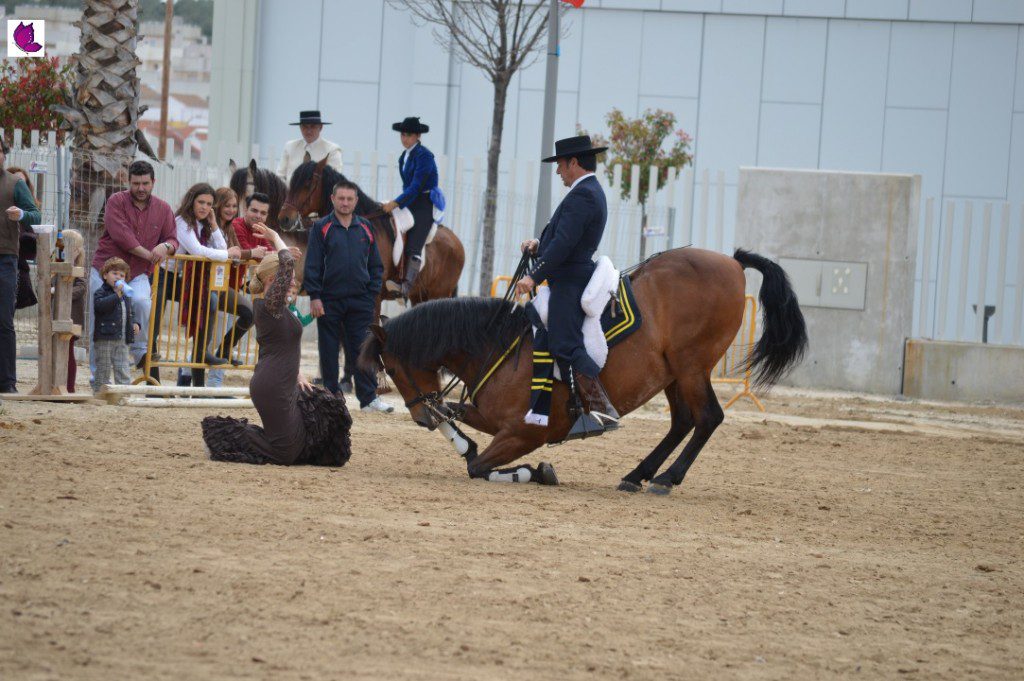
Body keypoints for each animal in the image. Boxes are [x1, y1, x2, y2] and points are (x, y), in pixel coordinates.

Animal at [277, 157, 465, 307]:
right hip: (420, 296)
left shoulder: (374, 298)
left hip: (438, 293)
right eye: (291, 182)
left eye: (308, 184)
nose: (284, 219)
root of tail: (456, 241)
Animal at [358, 247, 808, 495]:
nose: (417, 416)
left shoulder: (526, 432)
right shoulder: (488, 416)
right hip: (674, 375)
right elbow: (455, 426)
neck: (499, 346)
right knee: (682, 421)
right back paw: (639, 474)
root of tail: (731, 262)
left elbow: (478, 467)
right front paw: (458, 439)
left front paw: (533, 472)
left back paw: (666, 478)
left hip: (692, 367)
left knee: (707, 418)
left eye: (391, 367)